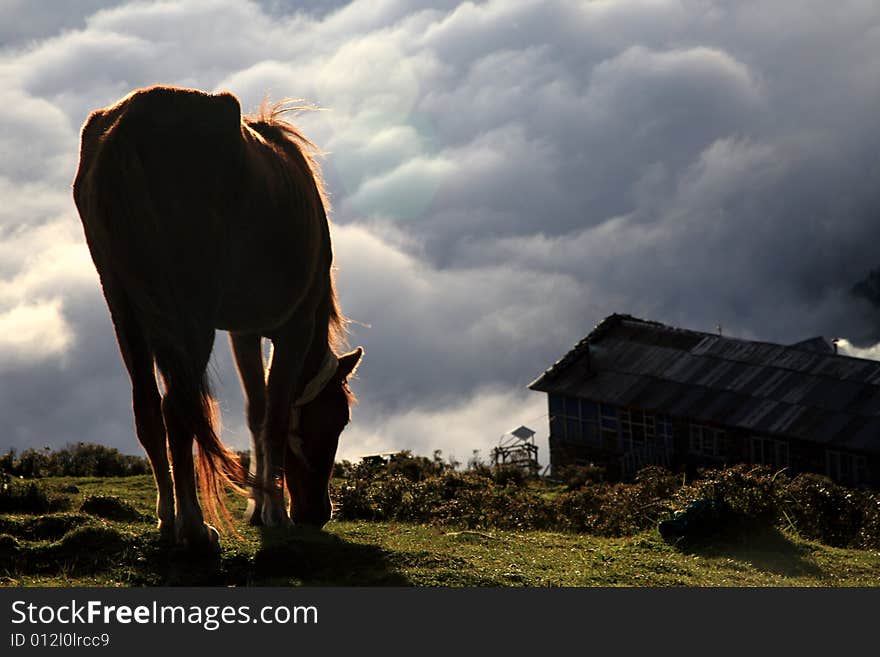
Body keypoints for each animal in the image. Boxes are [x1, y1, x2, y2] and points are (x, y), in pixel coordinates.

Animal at [72, 84, 364, 552]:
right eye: (337, 419)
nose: (317, 514)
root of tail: (127, 125)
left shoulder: (243, 333)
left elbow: (257, 410)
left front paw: (259, 508)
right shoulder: (294, 330)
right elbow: (275, 417)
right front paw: (275, 513)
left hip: (124, 306)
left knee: (148, 406)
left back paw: (167, 520)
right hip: (190, 316)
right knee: (179, 407)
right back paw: (192, 527)